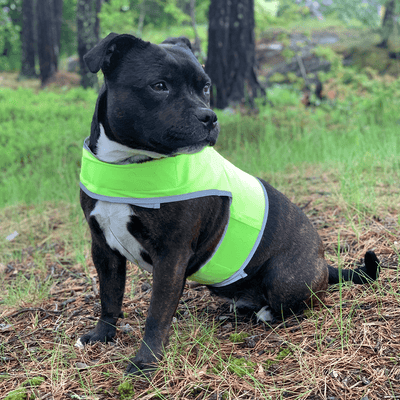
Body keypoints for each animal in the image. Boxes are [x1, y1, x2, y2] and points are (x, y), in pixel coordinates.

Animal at [76, 33, 380, 376]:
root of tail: (323, 263)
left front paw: (145, 362)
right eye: (159, 86)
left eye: (206, 86)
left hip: (284, 276)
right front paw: (103, 335)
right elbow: (109, 296)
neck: (128, 163)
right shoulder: (103, 248)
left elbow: (157, 313)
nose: (209, 116)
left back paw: (268, 313)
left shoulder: (171, 256)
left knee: (305, 302)